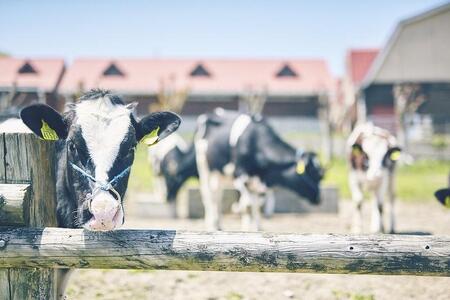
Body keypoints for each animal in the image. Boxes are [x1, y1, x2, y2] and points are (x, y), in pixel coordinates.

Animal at [193, 109, 324, 231]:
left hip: (220, 173)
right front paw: (246, 228)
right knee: (208, 196)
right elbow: (248, 205)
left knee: (218, 195)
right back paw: (211, 225)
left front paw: (257, 228)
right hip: (204, 167)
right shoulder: (240, 176)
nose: (319, 199)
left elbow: (257, 204)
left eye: (321, 176)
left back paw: (219, 225)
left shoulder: (258, 182)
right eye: (314, 174)